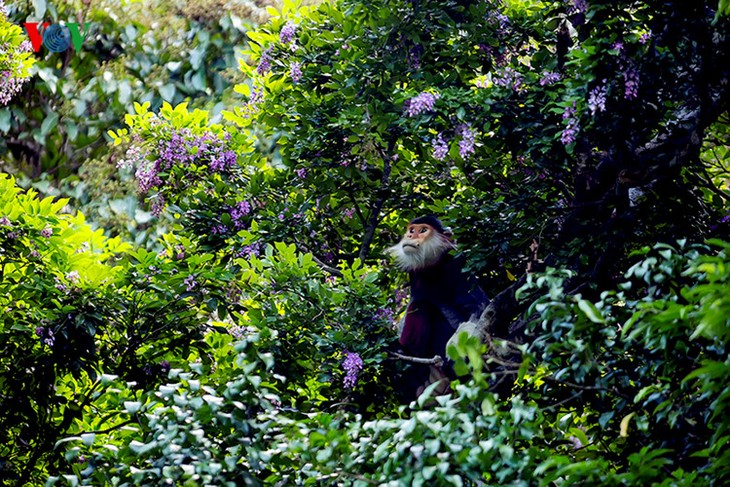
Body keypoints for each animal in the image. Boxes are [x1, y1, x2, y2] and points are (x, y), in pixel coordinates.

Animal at [386, 217, 490, 400]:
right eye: (411, 230)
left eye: (423, 230)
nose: (410, 235)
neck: (433, 268)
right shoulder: (415, 274)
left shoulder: (458, 263)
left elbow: (479, 307)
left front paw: (457, 345)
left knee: (421, 306)